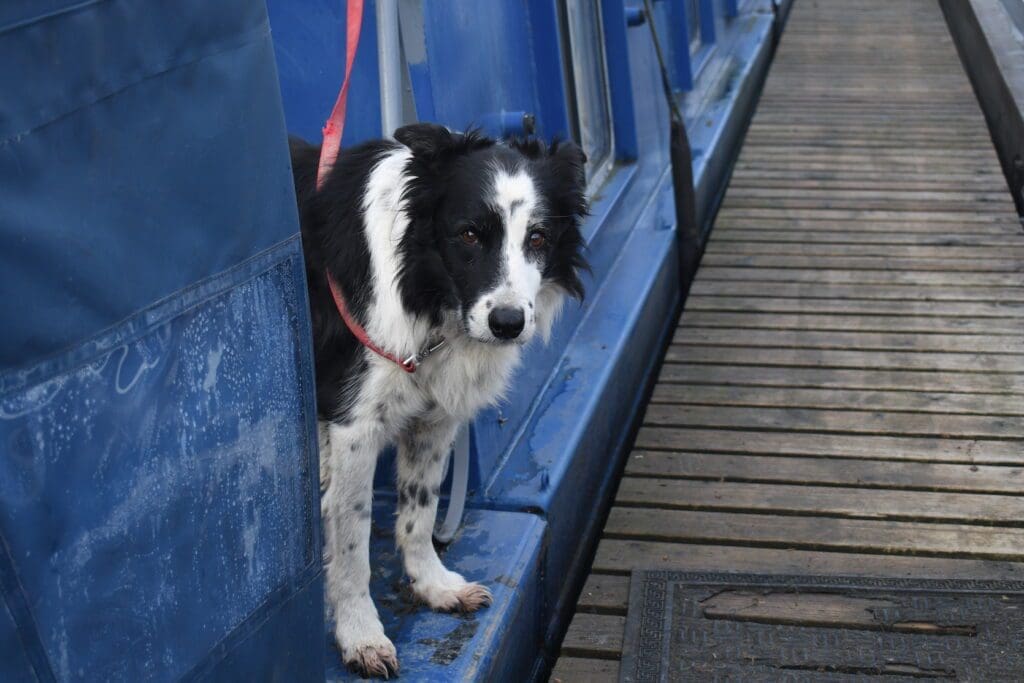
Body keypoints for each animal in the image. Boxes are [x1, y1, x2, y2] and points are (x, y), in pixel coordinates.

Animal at [292, 124, 589, 679]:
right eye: (469, 234)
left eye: (538, 238)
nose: (508, 324)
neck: (428, 291)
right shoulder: (354, 425)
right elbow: (351, 543)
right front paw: (360, 635)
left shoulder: (435, 416)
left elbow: (421, 509)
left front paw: (434, 586)